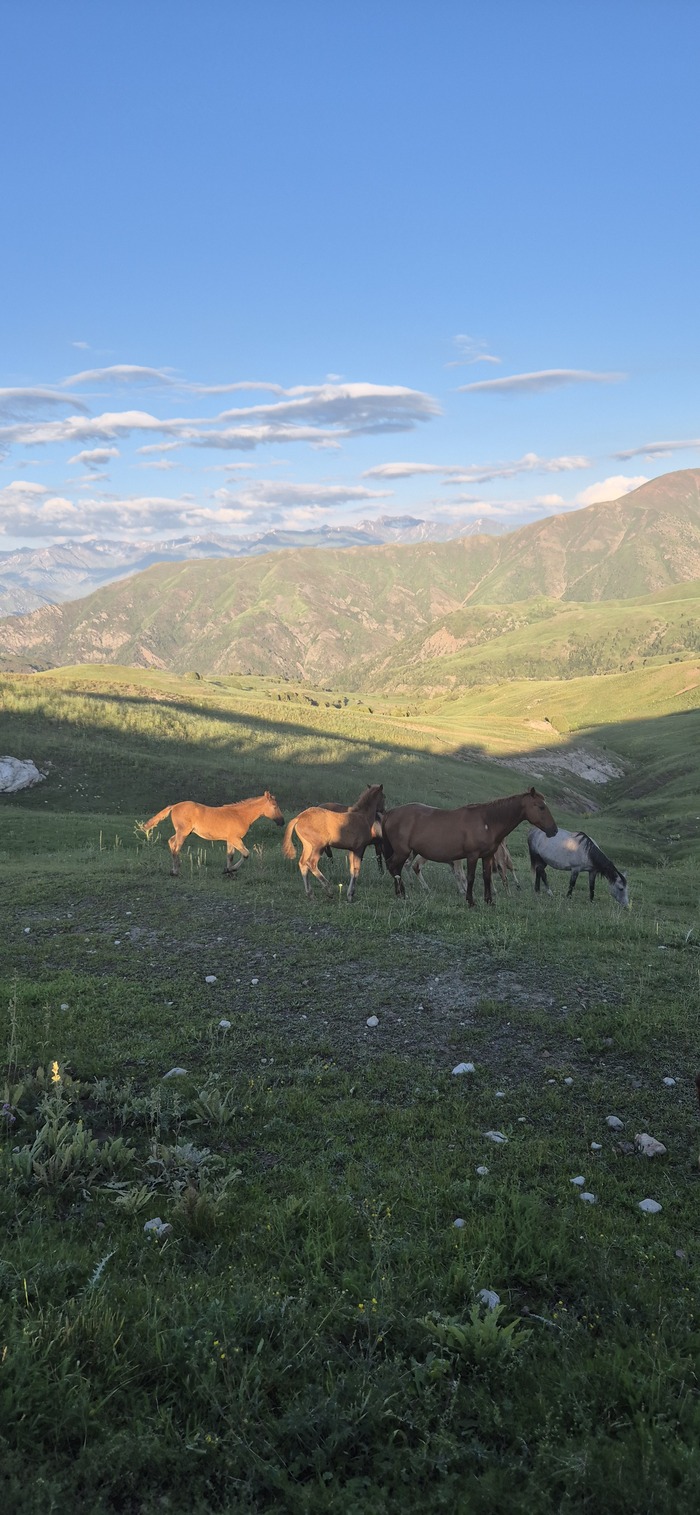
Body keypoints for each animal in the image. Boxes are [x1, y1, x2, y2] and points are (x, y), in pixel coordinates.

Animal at [140, 791, 285, 876]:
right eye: (274, 806)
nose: (282, 822)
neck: (240, 815)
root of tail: (174, 806)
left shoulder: (230, 839)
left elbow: (230, 856)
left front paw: (227, 871)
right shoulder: (236, 839)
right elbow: (246, 854)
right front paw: (232, 869)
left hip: (184, 832)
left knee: (171, 841)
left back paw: (173, 869)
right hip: (183, 832)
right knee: (176, 847)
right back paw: (175, 871)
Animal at [381, 789, 557, 906]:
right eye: (541, 807)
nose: (554, 830)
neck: (487, 821)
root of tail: (390, 813)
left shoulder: (487, 856)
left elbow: (486, 877)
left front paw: (489, 901)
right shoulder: (472, 855)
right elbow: (470, 877)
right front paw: (470, 901)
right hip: (402, 851)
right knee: (393, 866)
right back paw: (401, 894)